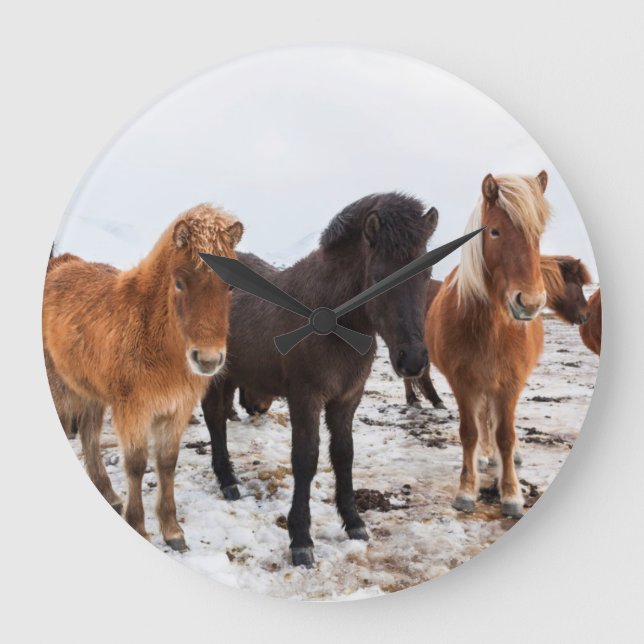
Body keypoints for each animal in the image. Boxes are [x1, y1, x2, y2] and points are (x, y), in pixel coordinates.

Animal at [43, 204, 243, 551]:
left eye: (229, 287)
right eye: (180, 283)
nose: (208, 359)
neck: (153, 334)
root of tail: (59, 264)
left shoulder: (176, 409)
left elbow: (166, 463)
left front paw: (172, 530)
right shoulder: (133, 410)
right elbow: (136, 465)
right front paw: (138, 525)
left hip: (91, 392)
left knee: (89, 436)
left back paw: (109, 494)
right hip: (61, 389)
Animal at [201, 193, 438, 567]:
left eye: (427, 273)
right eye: (378, 276)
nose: (413, 360)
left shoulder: (347, 398)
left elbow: (343, 454)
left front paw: (354, 522)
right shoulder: (305, 397)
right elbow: (306, 458)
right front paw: (301, 539)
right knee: (214, 418)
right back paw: (227, 481)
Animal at [427, 172, 551, 518]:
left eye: (538, 233)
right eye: (494, 231)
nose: (530, 302)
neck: (492, 329)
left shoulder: (510, 384)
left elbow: (505, 436)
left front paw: (511, 494)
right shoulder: (463, 382)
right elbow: (470, 432)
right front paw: (466, 491)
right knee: (483, 422)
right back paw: (484, 455)